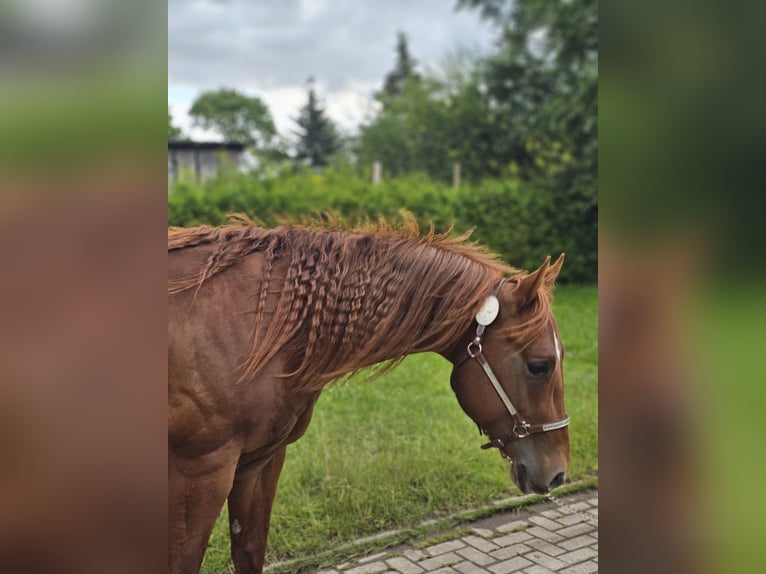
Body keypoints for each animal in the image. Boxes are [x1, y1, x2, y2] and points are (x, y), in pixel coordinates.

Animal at [171, 217, 572, 574]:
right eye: (540, 365)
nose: (558, 475)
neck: (259, 323)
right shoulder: (202, 475)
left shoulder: (260, 463)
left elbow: (250, 552)